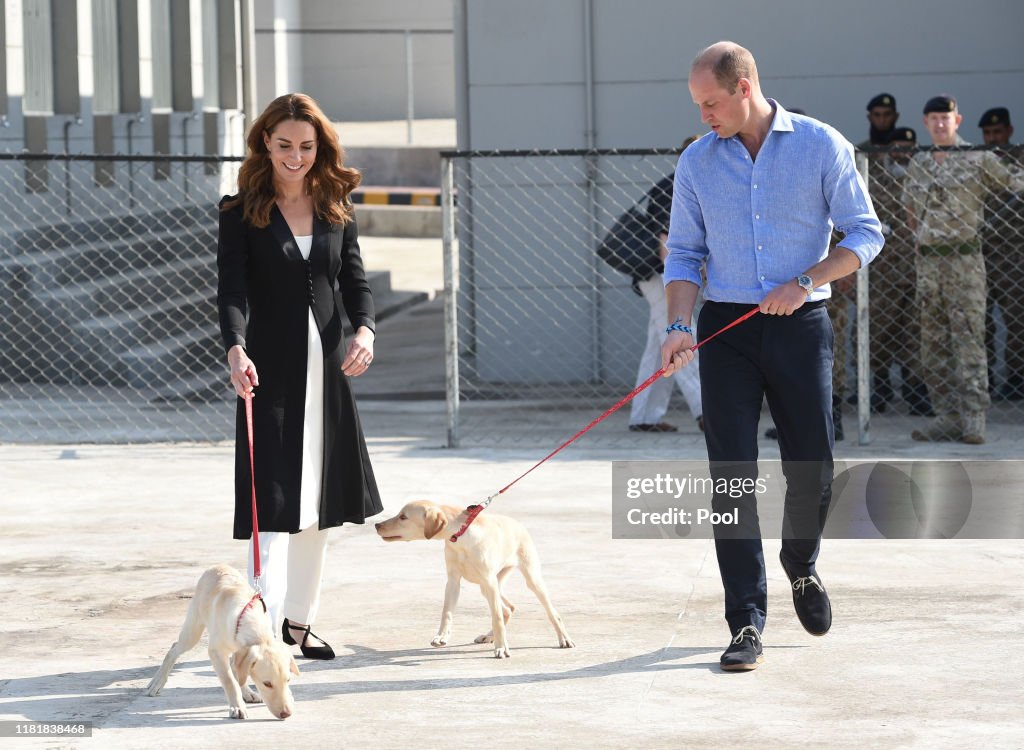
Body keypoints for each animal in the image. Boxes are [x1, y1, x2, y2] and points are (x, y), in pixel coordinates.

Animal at [146, 565, 301, 717]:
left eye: (288, 680)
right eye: (267, 683)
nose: (286, 714)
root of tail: (216, 566)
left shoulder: (242, 652)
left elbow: (238, 674)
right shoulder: (216, 652)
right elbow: (230, 681)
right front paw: (237, 707)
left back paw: (247, 693)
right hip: (192, 631)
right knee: (174, 649)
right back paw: (157, 682)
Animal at [374, 504, 577, 655]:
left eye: (403, 517)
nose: (377, 525)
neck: (461, 536)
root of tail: (517, 523)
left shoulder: (488, 580)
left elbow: (496, 617)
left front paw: (501, 648)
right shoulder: (453, 581)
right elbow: (447, 612)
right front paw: (442, 637)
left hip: (528, 579)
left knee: (550, 613)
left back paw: (564, 639)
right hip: (486, 586)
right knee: (508, 609)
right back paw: (489, 636)